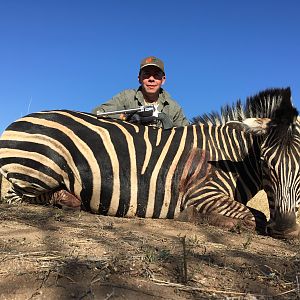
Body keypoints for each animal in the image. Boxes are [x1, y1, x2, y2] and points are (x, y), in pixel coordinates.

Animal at [0, 87, 298, 239]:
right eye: (265, 162)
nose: (285, 228)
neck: (228, 158)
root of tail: (16, 122)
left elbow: (257, 215)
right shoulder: (203, 193)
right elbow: (252, 217)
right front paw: (192, 217)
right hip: (39, 171)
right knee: (14, 196)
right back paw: (65, 199)